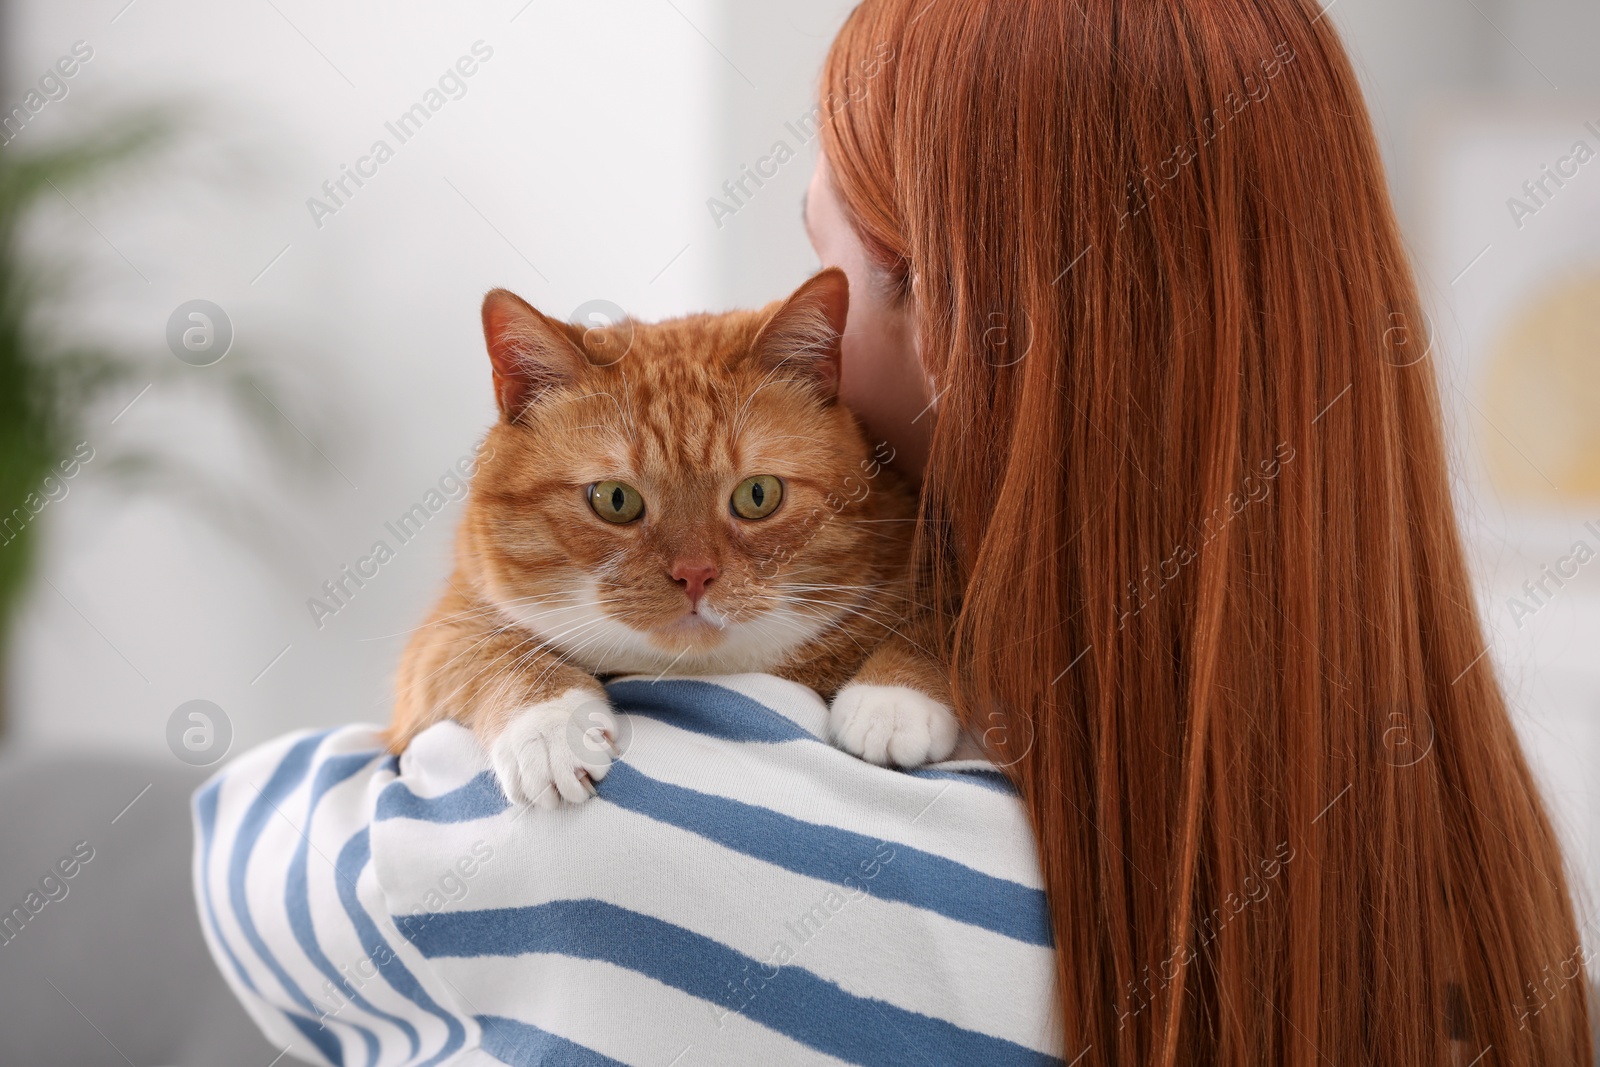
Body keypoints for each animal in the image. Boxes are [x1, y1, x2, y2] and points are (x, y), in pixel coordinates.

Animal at [387, 271, 960, 806]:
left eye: (758, 494)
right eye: (615, 499)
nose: (695, 574)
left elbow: (940, 616)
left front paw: (892, 700)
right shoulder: (437, 640)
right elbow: (483, 647)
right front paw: (549, 727)